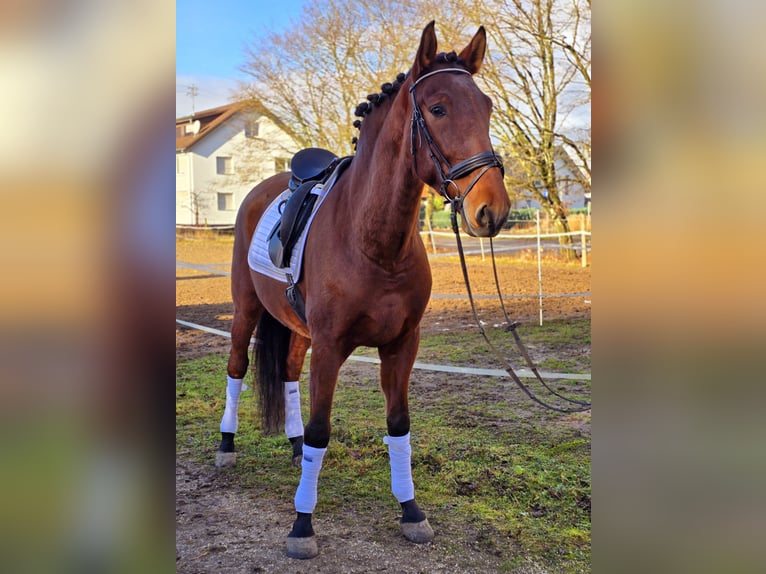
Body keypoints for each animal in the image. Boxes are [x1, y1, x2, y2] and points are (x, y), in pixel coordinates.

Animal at [214, 21, 510, 560]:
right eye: (438, 108)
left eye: (487, 106)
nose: (492, 210)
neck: (374, 243)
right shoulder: (332, 346)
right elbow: (321, 428)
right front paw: (302, 524)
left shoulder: (402, 345)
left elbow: (398, 425)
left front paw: (410, 511)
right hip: (246, 312)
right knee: (237, 368)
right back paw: (226, 446)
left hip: (298, 329)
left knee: (288, 372)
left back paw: (293, 450)